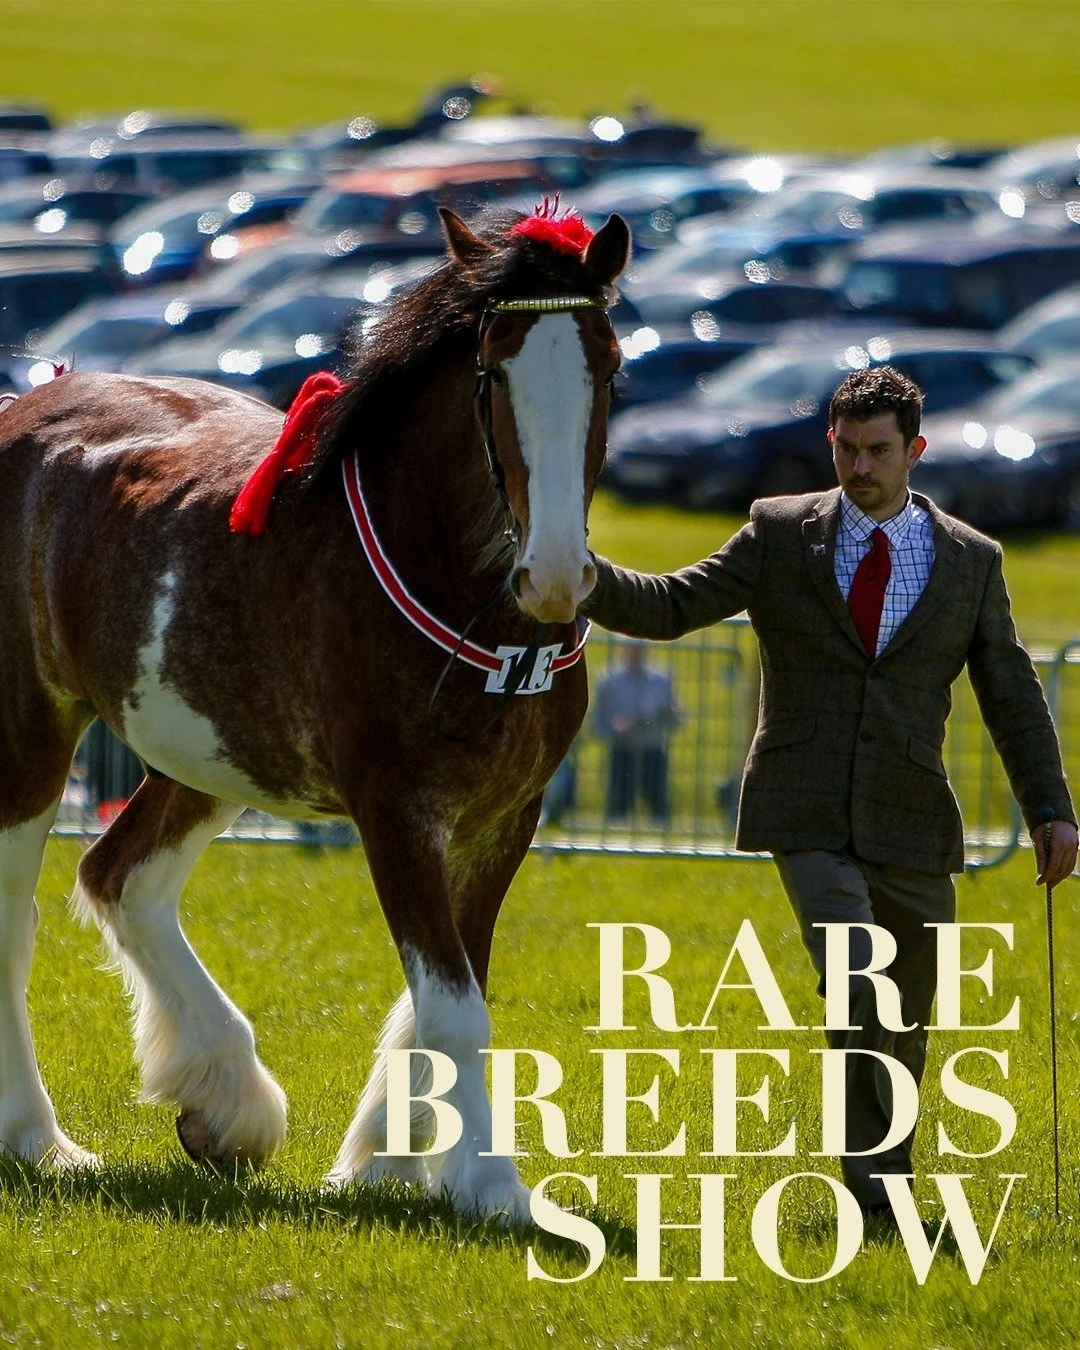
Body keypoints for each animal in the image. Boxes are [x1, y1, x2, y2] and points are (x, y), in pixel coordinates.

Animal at [0, 203, 629, 1223]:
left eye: (609, 367)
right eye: (494, 371)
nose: (557, 574)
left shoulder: (506, 817)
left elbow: (447, 990)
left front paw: (382, 1157)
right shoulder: (393, 811)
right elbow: (453, 1006)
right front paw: (491, 1183)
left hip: (208, 749)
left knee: (120, 876)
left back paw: (225, 1100)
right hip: (33, 729)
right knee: (16, 923)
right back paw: (40, 1137)